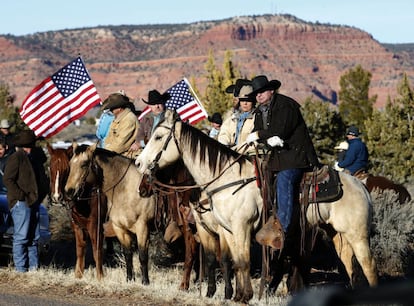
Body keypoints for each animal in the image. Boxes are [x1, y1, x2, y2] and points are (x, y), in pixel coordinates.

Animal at [47, 143, 108, 280]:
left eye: (67, 169)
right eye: (50, 167)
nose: (57, 196)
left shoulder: (95, 226)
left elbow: (97, 251)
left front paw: (100, 277)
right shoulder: (77, 226)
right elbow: (80, 250)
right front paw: (78, 275)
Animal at [64, 143, 156, 284]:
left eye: (84, 164)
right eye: (70, 164)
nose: (68, 192)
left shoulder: (142, 227)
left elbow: (141, 255)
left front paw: (145, 282)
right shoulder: (118, 228)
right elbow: (127, 254)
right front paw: (129, 279)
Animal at [135, 109, 378, 302]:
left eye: (158, 136)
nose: (139, 163)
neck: (227, 178)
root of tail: (361, 186)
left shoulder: (241, 227)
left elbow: (242, 262)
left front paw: (244, 296)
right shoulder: (226, 230)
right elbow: (233, 260)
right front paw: (236, 295)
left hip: (357, 234)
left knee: (368, 266)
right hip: (337, 234)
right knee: (347, 266)